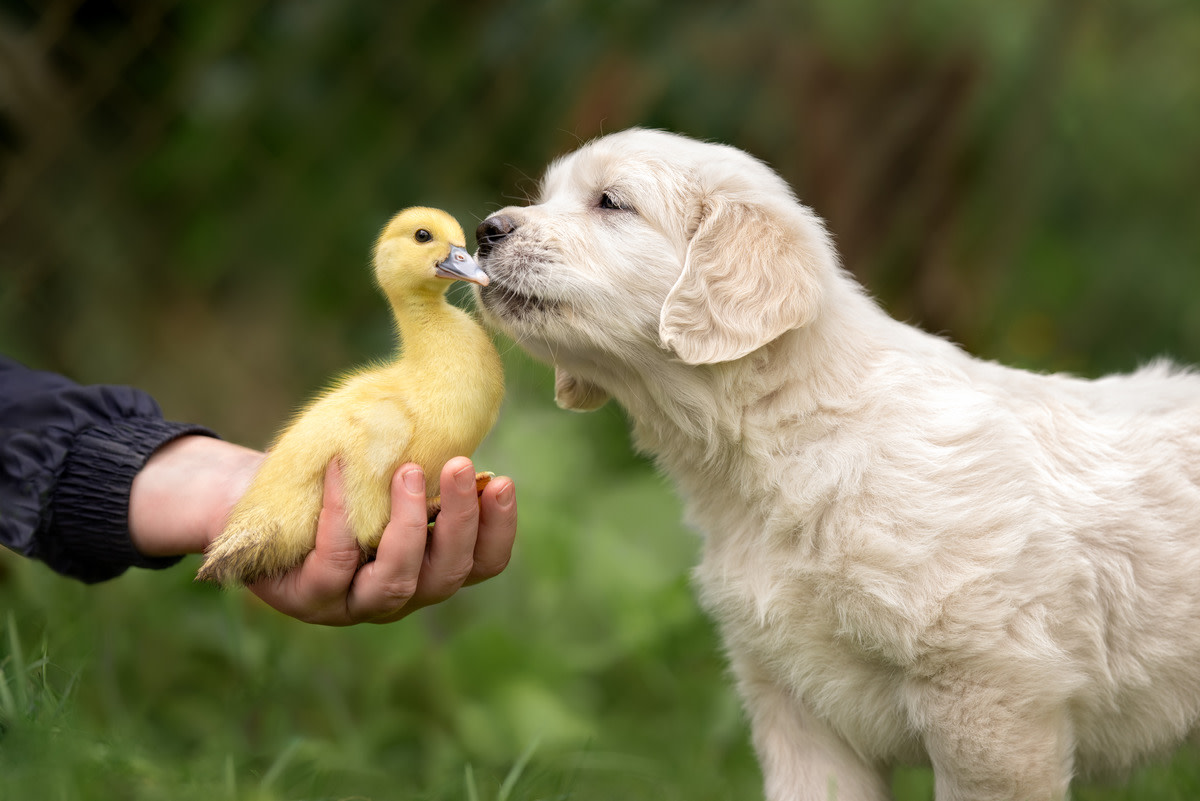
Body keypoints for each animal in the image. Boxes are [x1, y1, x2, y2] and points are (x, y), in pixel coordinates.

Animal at [472, 128, 1200, 796]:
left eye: (611, 202)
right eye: (547, 195)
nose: (485, 230)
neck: (793, 442)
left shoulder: (989, 701)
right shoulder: (795, 702)